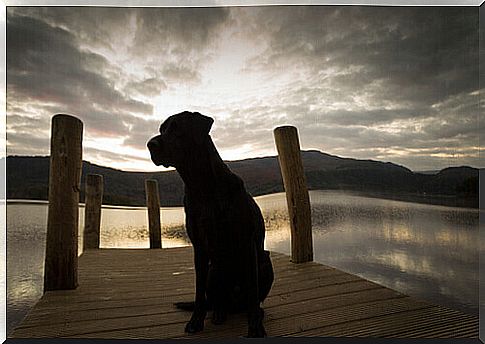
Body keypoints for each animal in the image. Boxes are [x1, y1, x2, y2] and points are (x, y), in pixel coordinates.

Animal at [146, 111, 274, 338]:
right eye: (162, 129)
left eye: (177, 128)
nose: (150, 144)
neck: (202, 187)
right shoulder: (200, 247)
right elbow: (198, 294)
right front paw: (195, 322)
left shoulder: (246, 243)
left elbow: (252, 290)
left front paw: (255, 329)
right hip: (214, 271)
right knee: (215, 302)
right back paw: (218, 314)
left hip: (265, 262)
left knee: (250, 301)